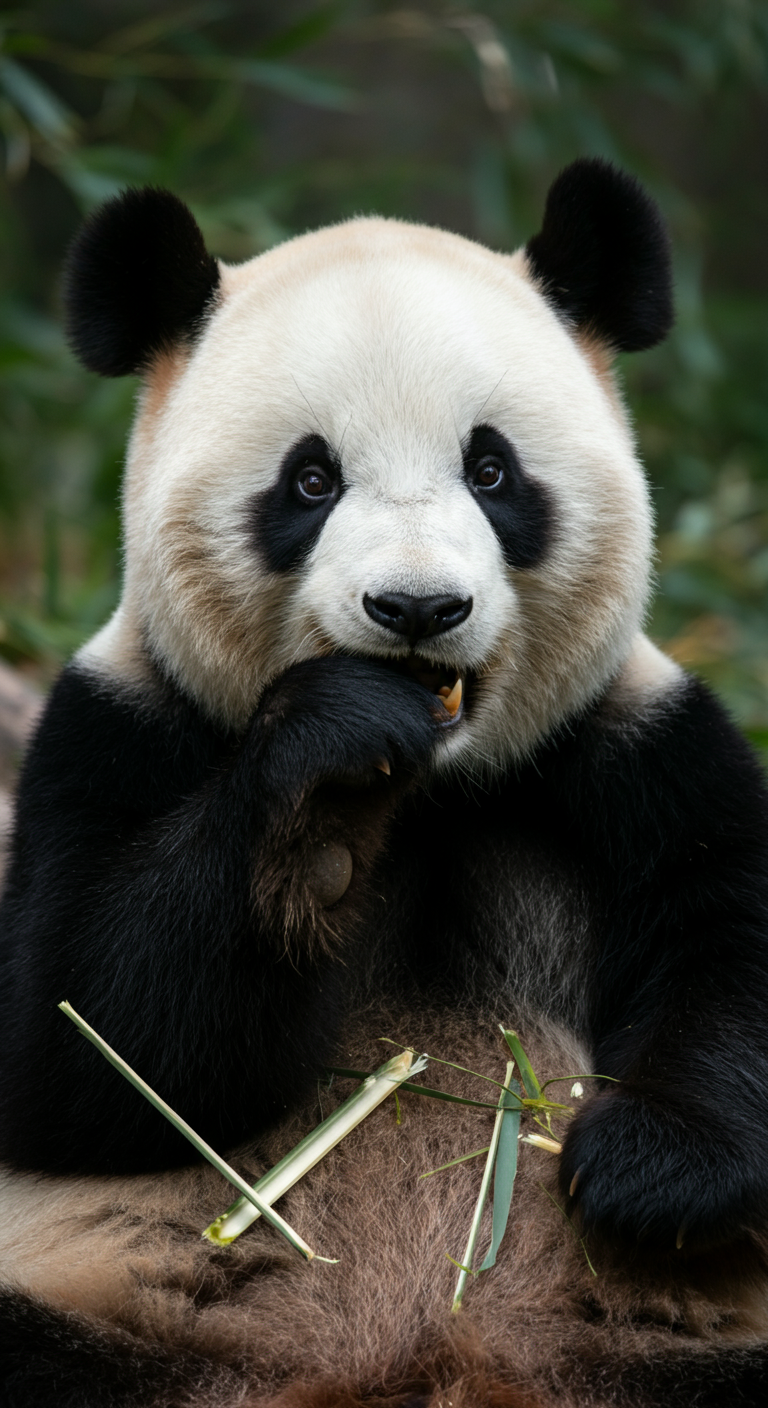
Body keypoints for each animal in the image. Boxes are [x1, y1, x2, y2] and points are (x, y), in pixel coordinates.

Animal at [1, 158, 768, 1408]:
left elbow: (733, 954)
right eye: (310, 480)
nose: (417, 608)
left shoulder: (642, 747)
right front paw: (324, 793)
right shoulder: (111, 728)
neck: (435, 794)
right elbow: (77, 1044)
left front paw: (645, 1167)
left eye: (492, 469)